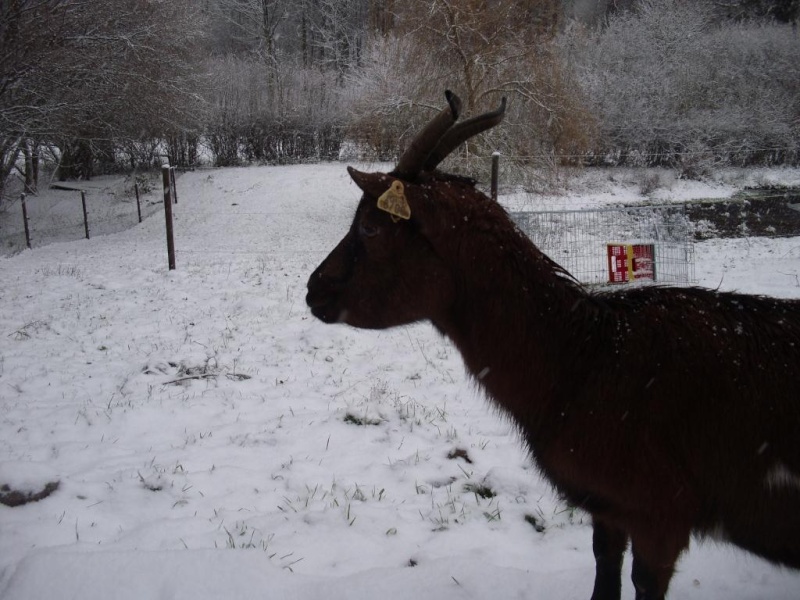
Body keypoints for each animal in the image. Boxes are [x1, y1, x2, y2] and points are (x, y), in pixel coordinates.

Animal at [304, 91, 800, 596]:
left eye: (369, 227)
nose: (313, 289)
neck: (583, 358)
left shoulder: (661, 515)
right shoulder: (608, 506)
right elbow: (604, 569)